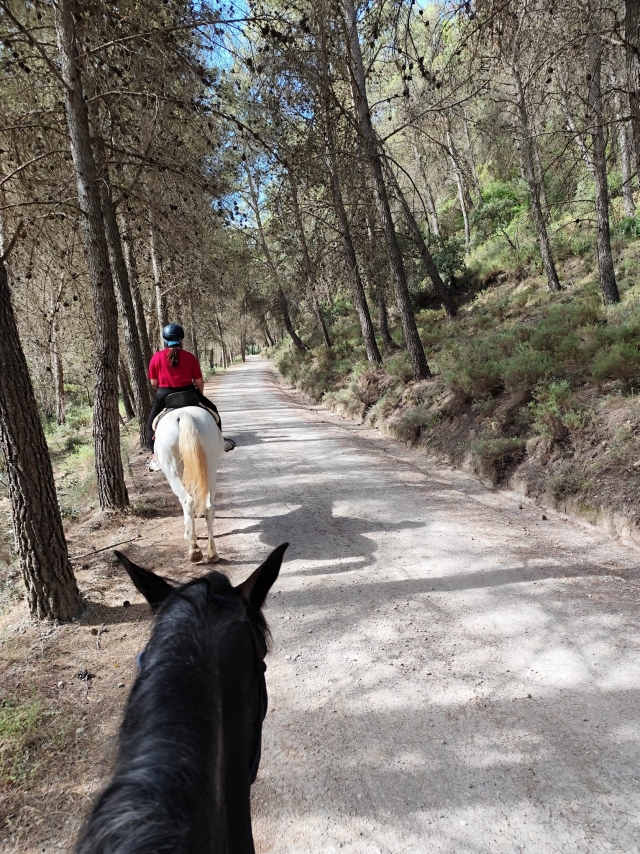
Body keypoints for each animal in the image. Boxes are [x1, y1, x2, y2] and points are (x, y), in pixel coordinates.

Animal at [154, 405, 224, 563]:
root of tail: (183, 414)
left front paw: (187, 532)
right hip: (210, 471)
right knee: (209, 507)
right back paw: (212, 553)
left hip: (173, 473)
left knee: (188, 501)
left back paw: (194, 550)